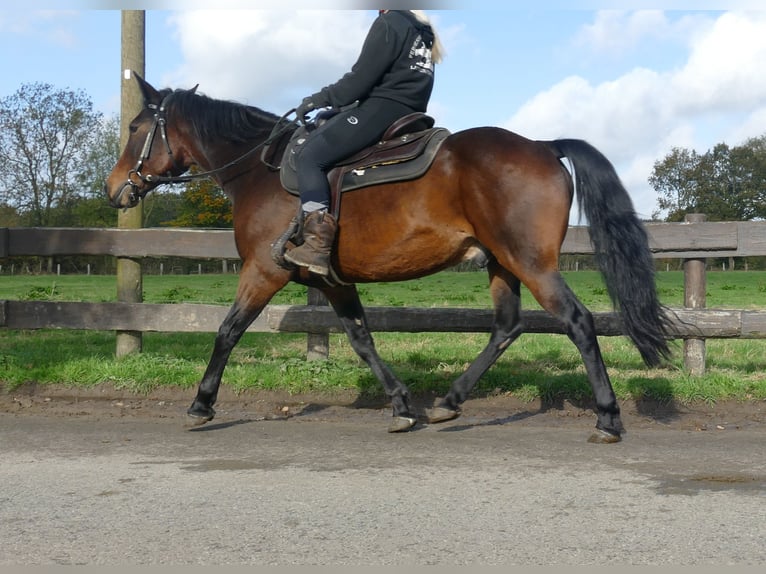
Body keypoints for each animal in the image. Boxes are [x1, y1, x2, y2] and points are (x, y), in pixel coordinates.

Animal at [103, 76, 672, 444]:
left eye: (134, 128)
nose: (114, 191)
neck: (260, 172)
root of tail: (542, 145)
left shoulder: (265, 270)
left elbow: (228, 331)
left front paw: (201, 404)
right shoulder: (332, 281)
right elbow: (361, 339)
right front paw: (401, 405)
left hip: (531, 263)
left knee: (576, 322)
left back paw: (607, 418)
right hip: (501, 263)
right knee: (508, 326)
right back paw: (449, 402)